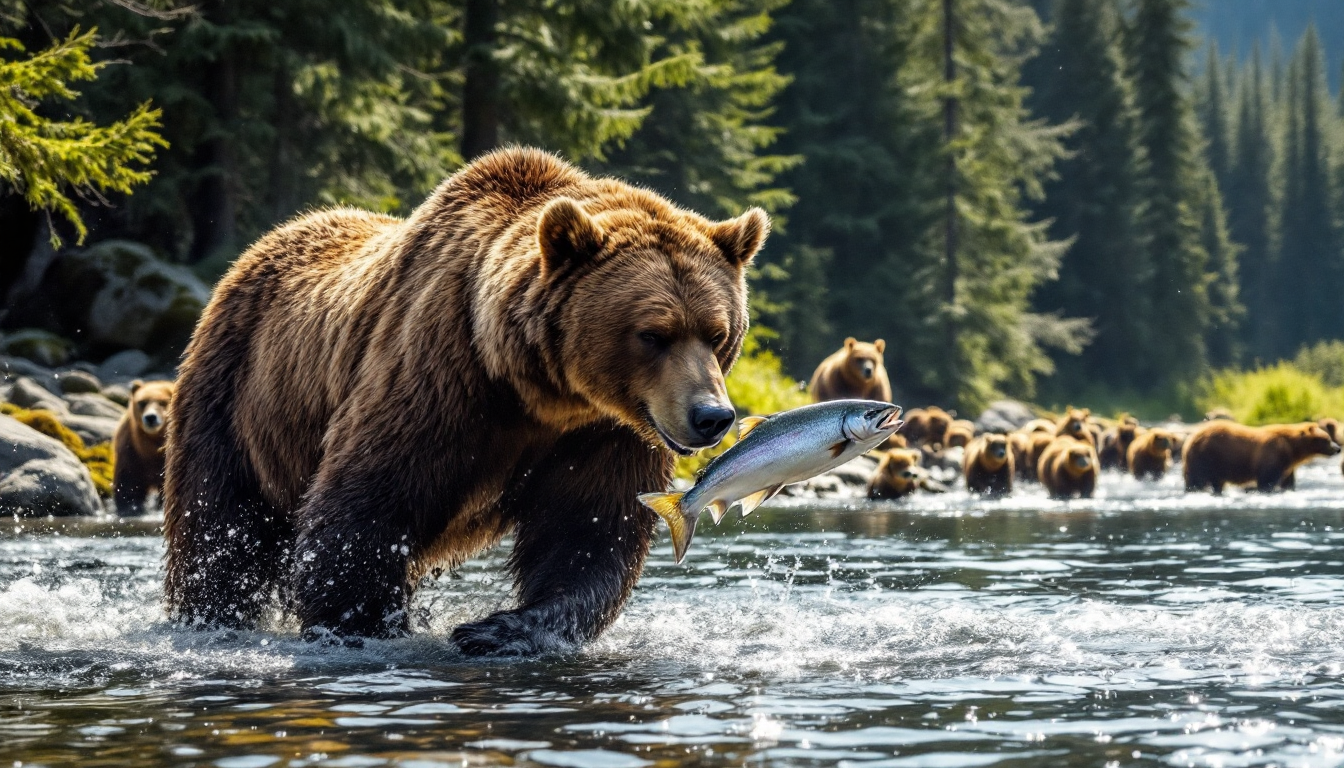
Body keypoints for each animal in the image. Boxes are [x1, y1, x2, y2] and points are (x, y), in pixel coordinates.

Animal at [113, 379, 176, 515]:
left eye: (163, 402)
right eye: (142, 402)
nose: (150, 417)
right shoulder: (131, 452)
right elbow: (129, 483)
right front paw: (130, 507)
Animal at [161, 148, 769, 655]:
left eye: (717, 333)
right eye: (652, 333)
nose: (712, 417)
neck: (537, 390)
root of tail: (260, 246)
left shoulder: (603, 431)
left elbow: (589, 532)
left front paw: (500, 628)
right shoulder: (440, 380)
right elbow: (363, 512)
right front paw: (364, 626)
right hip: (234, 398)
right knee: (219, 530)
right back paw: (209, 614)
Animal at [1182, 421, 1340, 494]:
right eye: (1326, 439)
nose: (1338, 448)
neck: (1292, 448)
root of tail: (1189, 440)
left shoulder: (1287, 465)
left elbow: (1287, 482)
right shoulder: (1273, 454)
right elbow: (1267, 480)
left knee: (1215, 482)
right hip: (1205, 458)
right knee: (1197, 480)